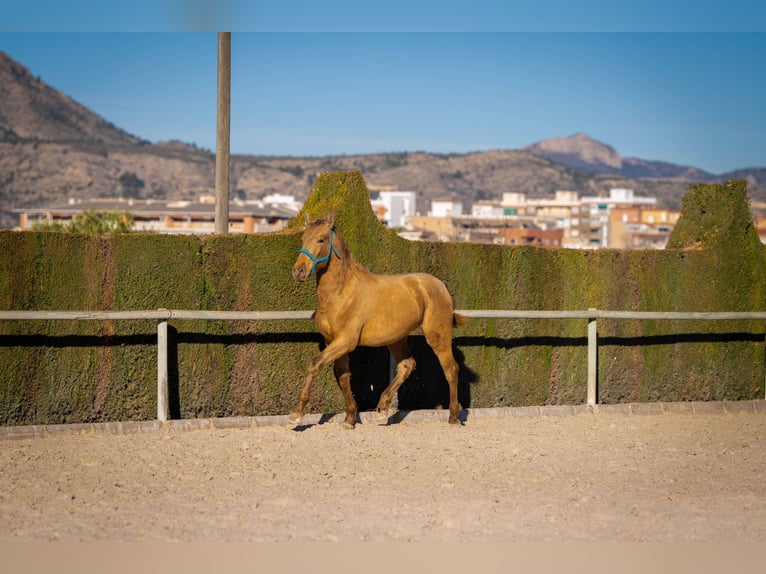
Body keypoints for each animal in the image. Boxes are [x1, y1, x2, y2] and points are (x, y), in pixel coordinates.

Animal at [292, 214, 468, 430]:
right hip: (396, 338)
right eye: (303, 239)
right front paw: (349, 419)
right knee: (407, 365)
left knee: (451, 369)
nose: (298, 271)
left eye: (321, 239)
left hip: (438, 336)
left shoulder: (345, 341)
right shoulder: (332, 341)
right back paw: (382, 408)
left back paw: (453, 417)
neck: (340, 293)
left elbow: (315, 364)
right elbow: (343, 376)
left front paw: (296, 413)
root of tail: (439, 285)